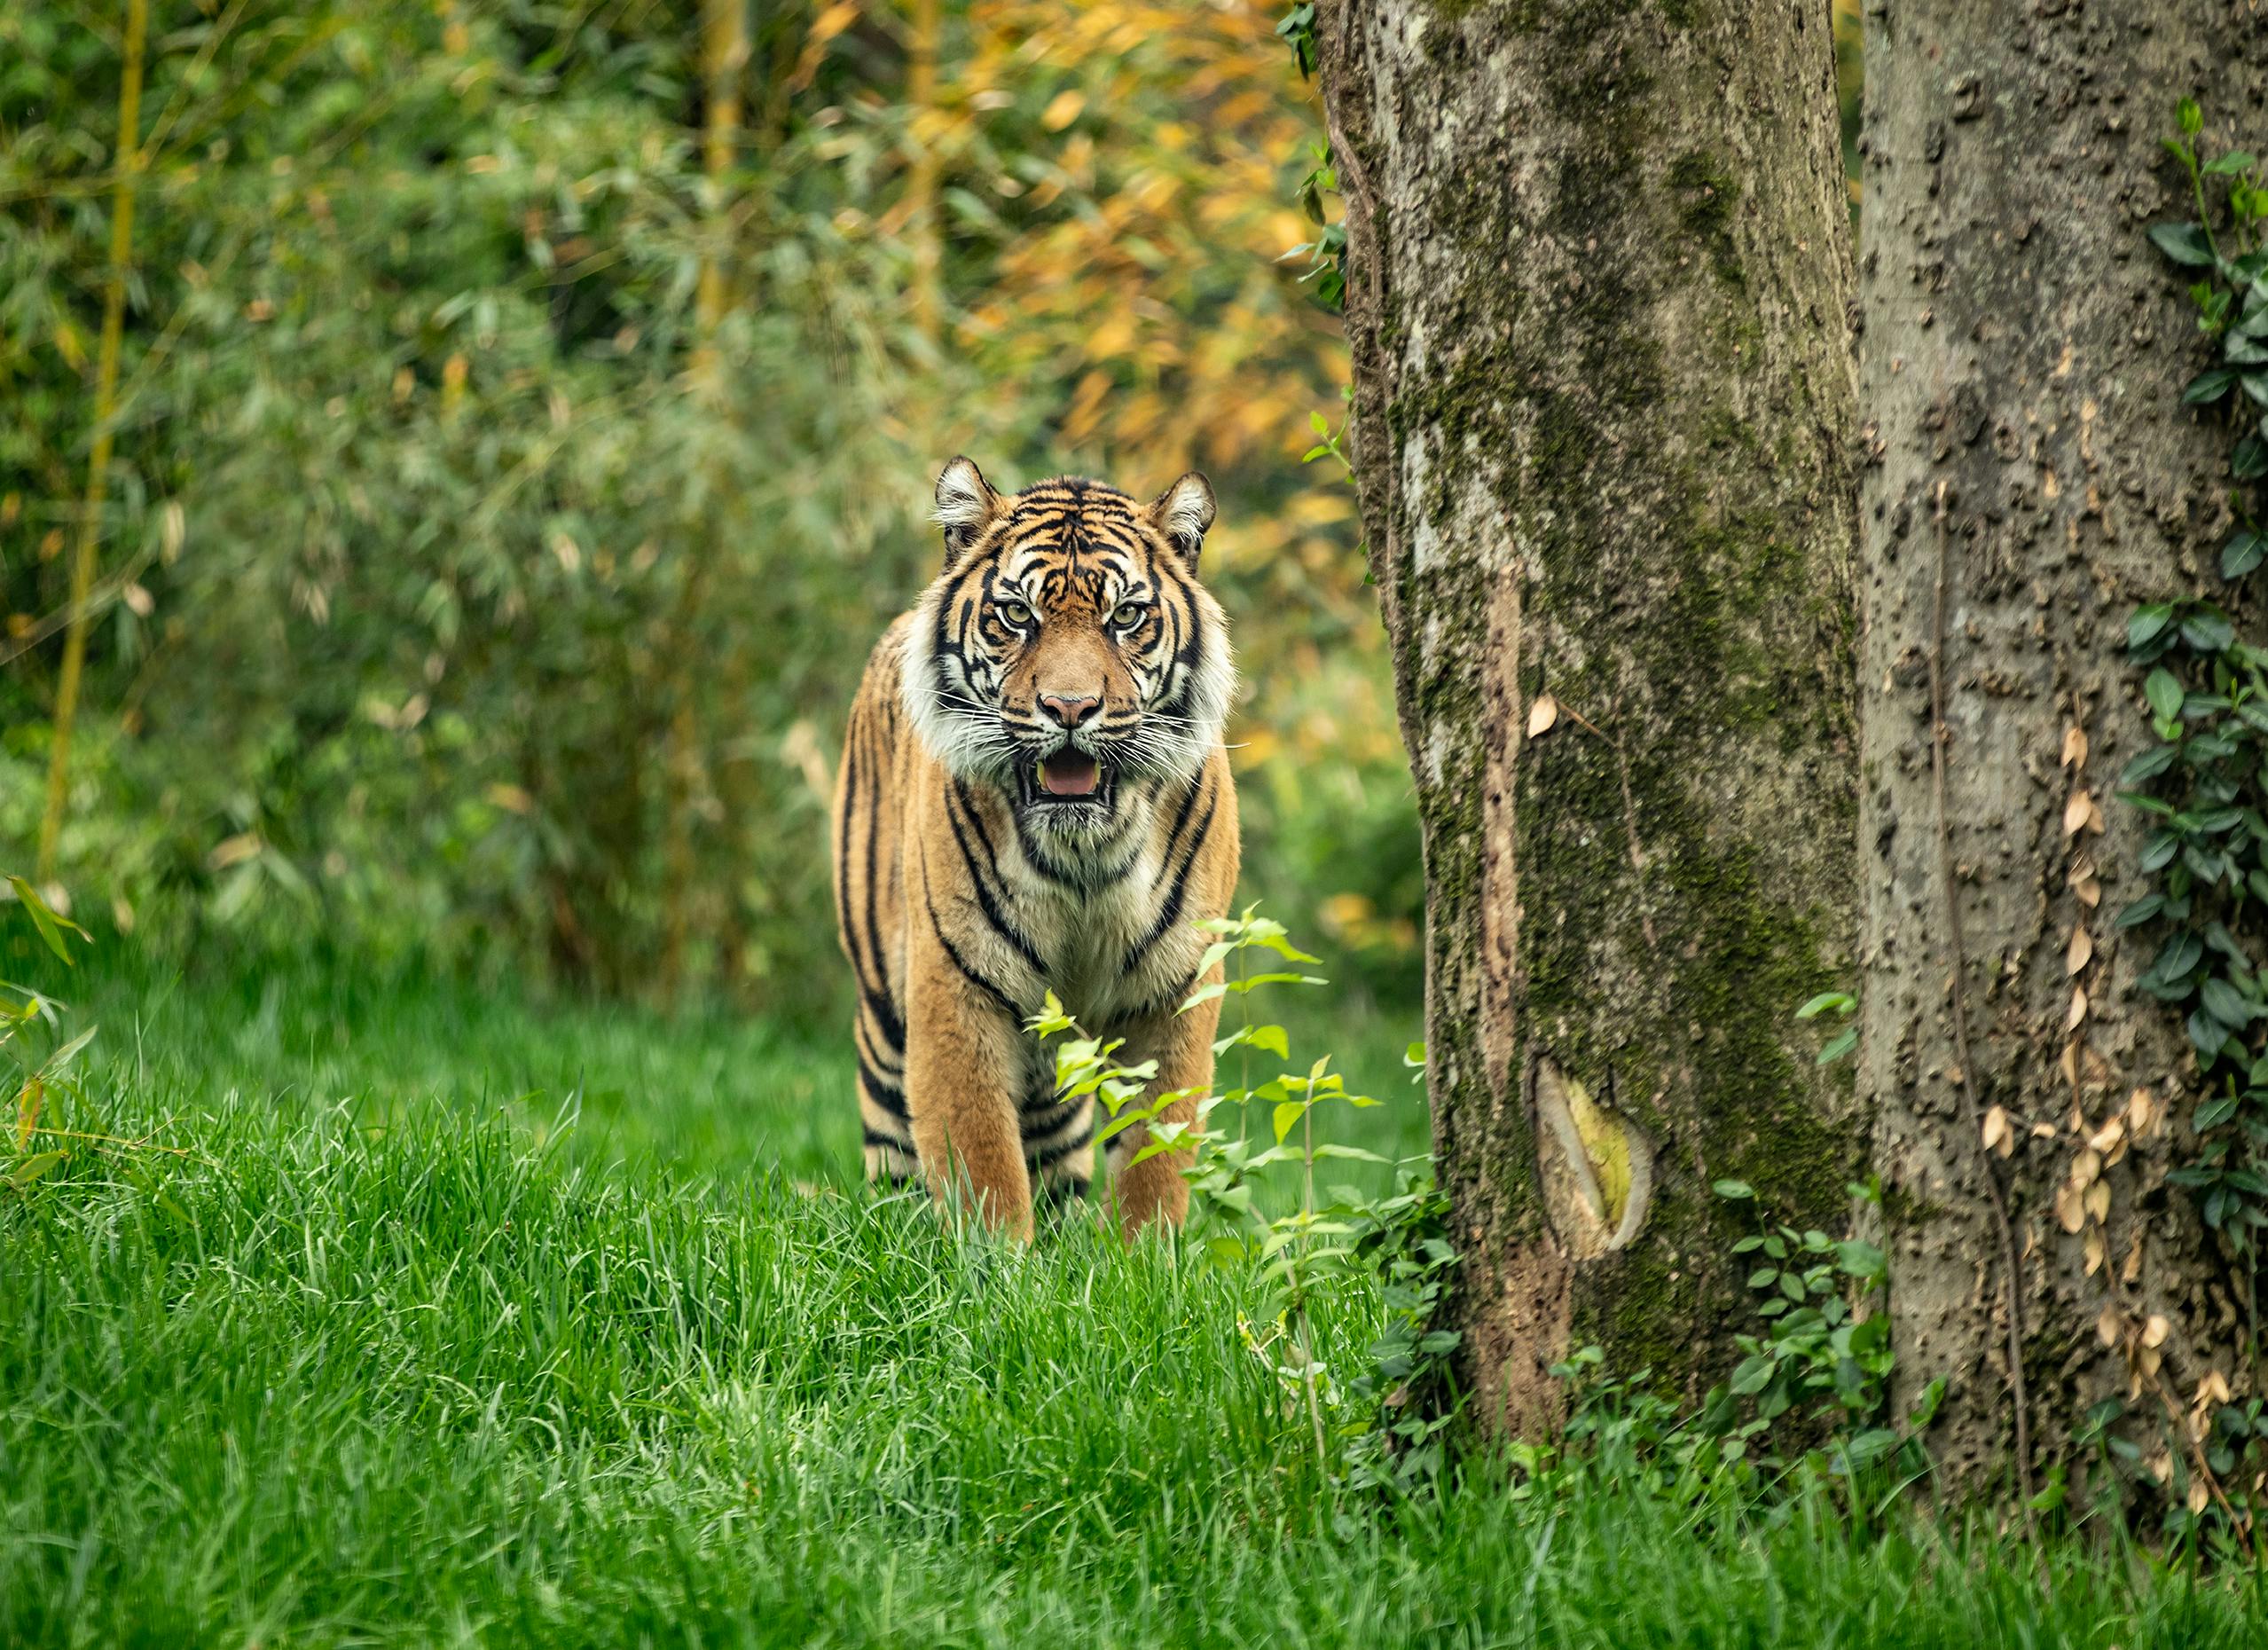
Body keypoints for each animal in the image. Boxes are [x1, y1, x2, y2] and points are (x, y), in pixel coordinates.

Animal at [829, 458, 1243, 1244]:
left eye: (1125, 617)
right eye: (1018, 616)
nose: (1070, 708)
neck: (1086, 853)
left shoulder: (1175, 989)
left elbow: (1157, 1154)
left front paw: (1142, 1259)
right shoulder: (956, 988)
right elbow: (980, 1159)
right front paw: (996, 1267)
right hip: (882, 1014)